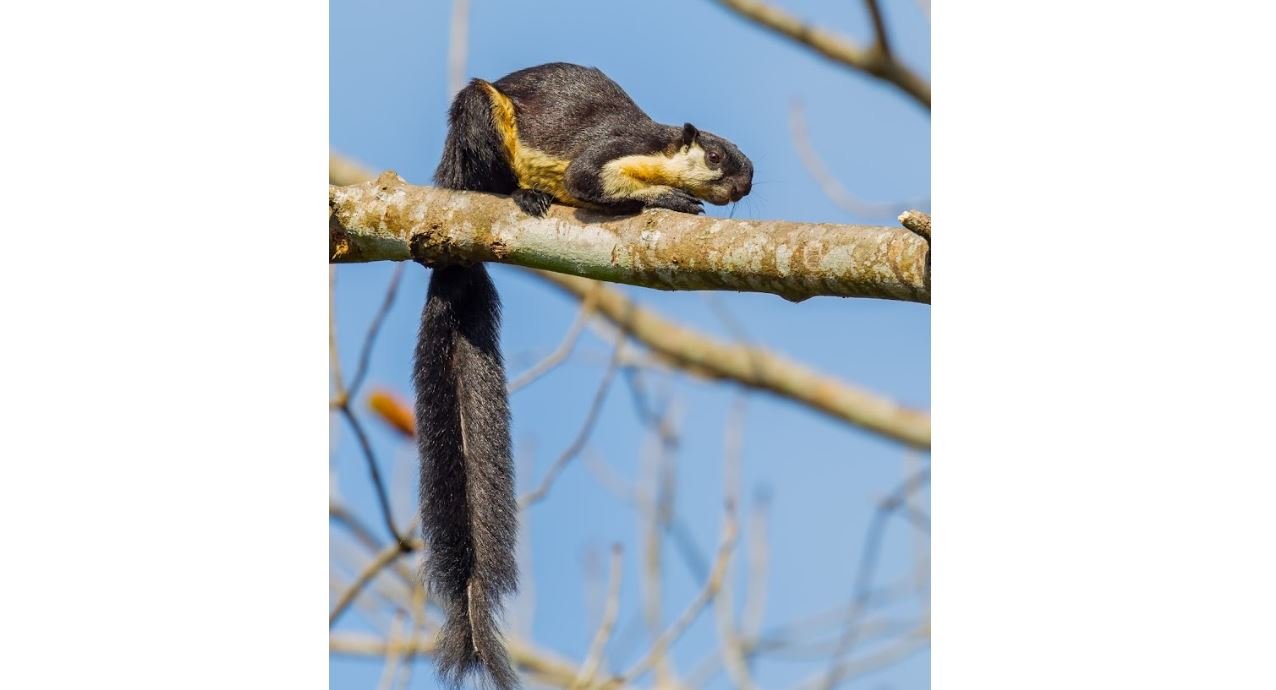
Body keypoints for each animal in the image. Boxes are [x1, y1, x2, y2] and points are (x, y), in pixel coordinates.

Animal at [413, 62, 753, 690]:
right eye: (716, 155)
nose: (744, 185)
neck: (654, 147)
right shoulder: (608, 150)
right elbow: (588, 181)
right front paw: (672, 198)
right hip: (477, 121)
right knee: (484, 175)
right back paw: (519, 193)